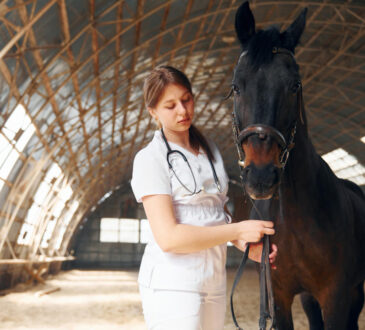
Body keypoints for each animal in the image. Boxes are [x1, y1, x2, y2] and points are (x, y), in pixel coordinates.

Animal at [230, 2, 364, 330]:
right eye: (236, 87)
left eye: (294, 85)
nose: (261, 176)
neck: (296, 219)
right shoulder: (280, 297)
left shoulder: (336, 297)